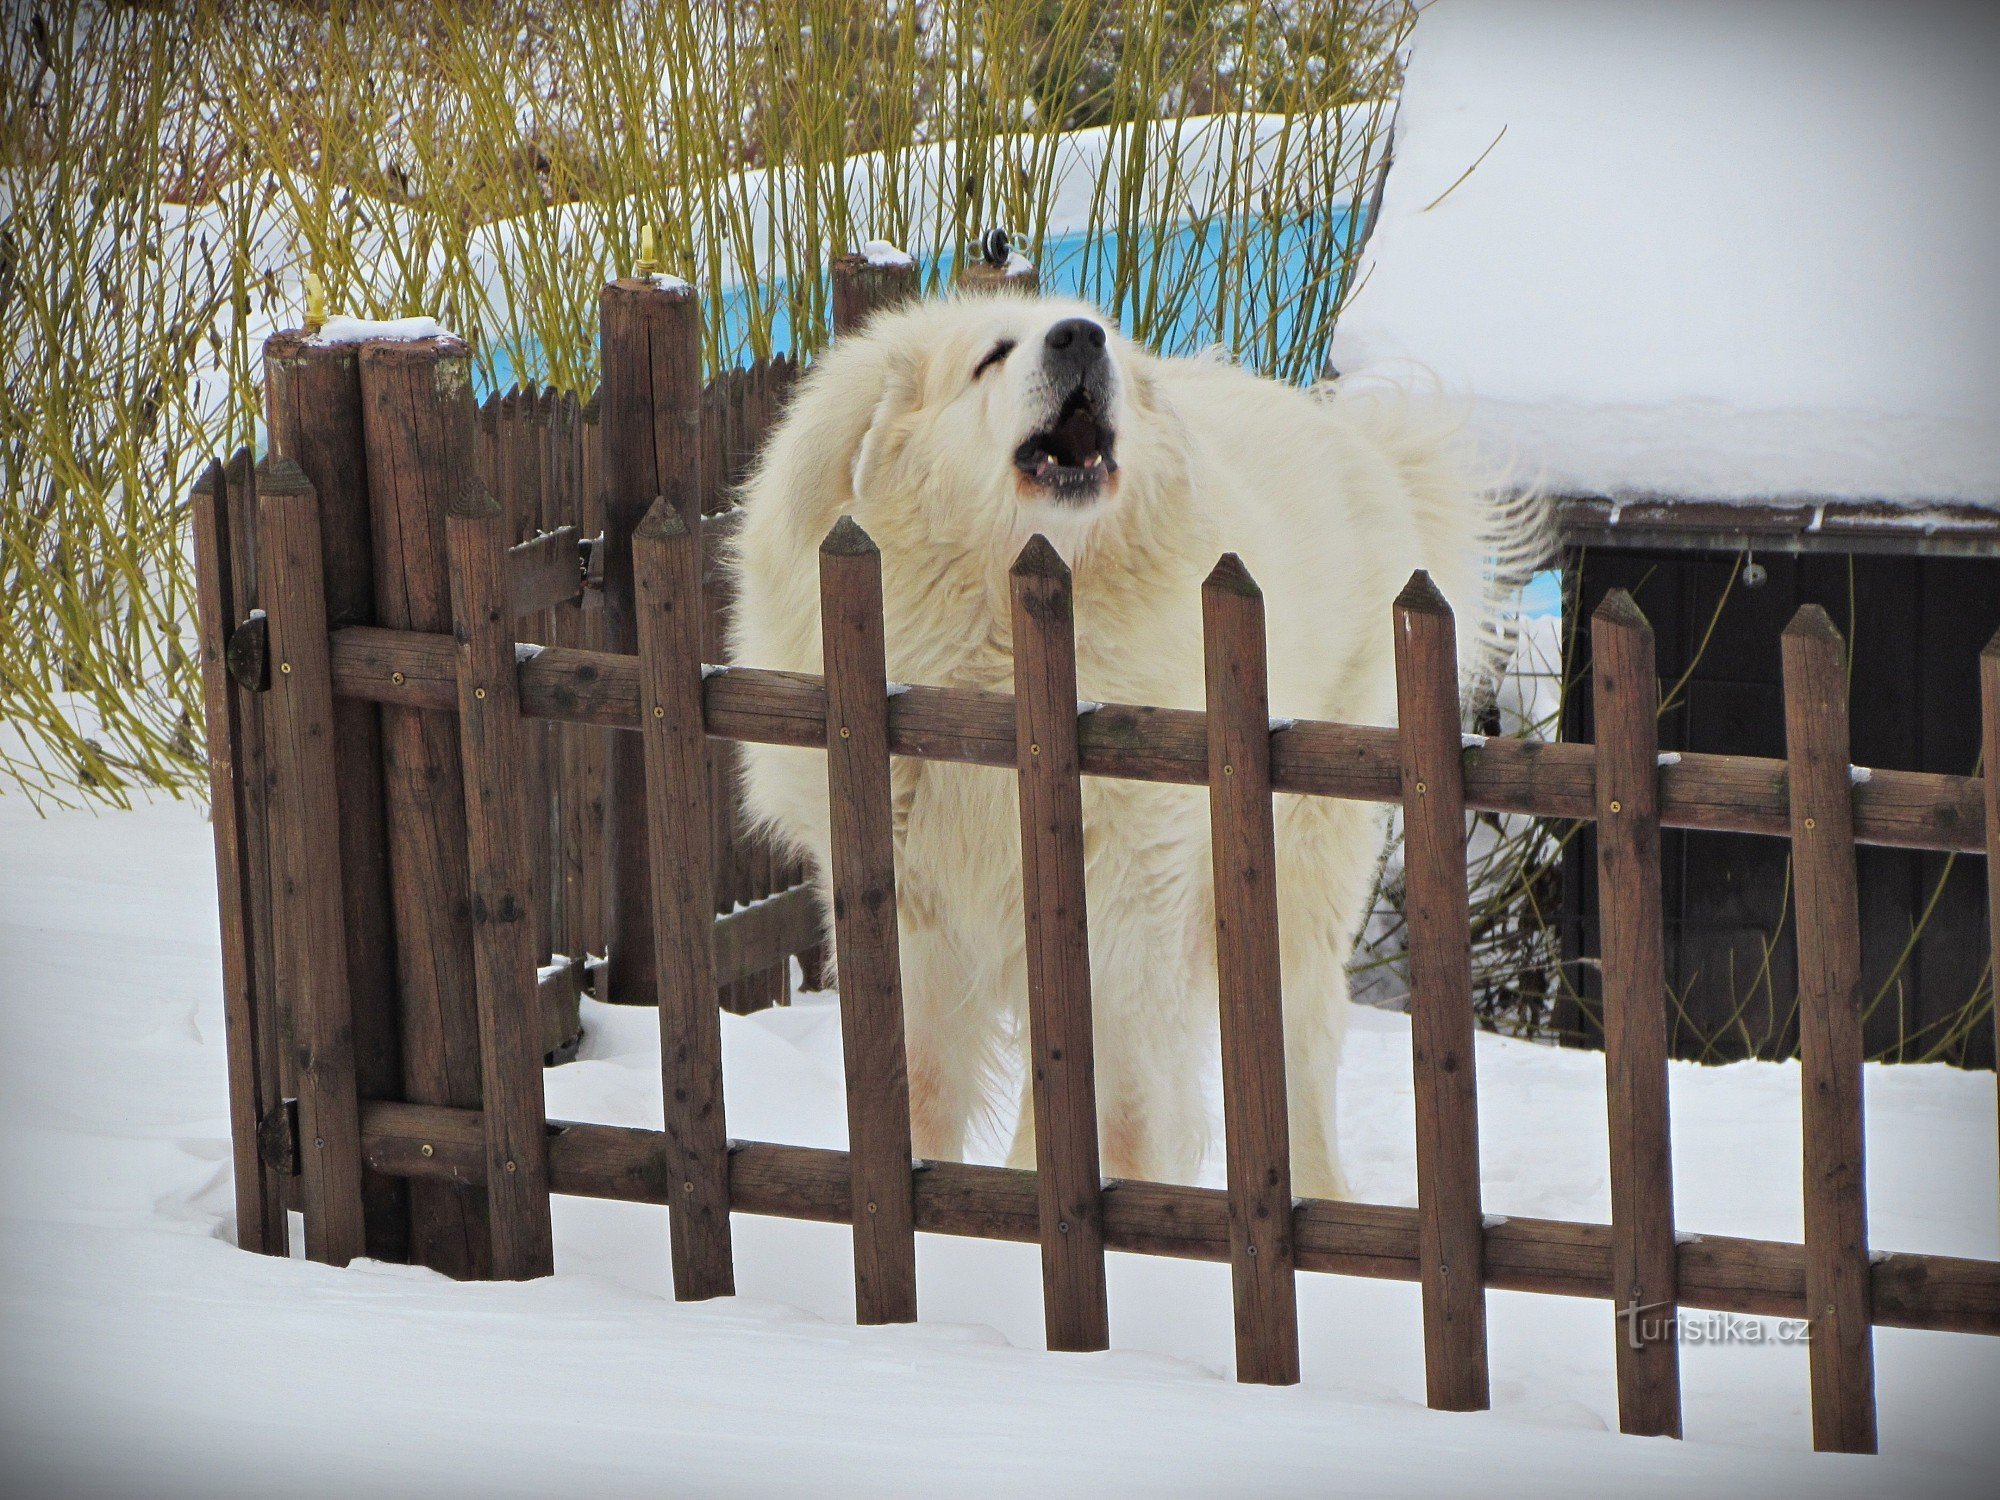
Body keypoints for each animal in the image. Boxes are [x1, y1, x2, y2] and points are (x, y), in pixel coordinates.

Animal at [728, 294, 1536, 1200]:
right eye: (990, 357)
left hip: (1297, 878)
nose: (1080, 335)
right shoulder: (911, 915)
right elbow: (925, 1101)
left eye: (1098, 333)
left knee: (1301, 1055)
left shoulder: (1126, 902)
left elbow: (1126, 1115)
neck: (995, 671)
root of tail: (1366, 448)